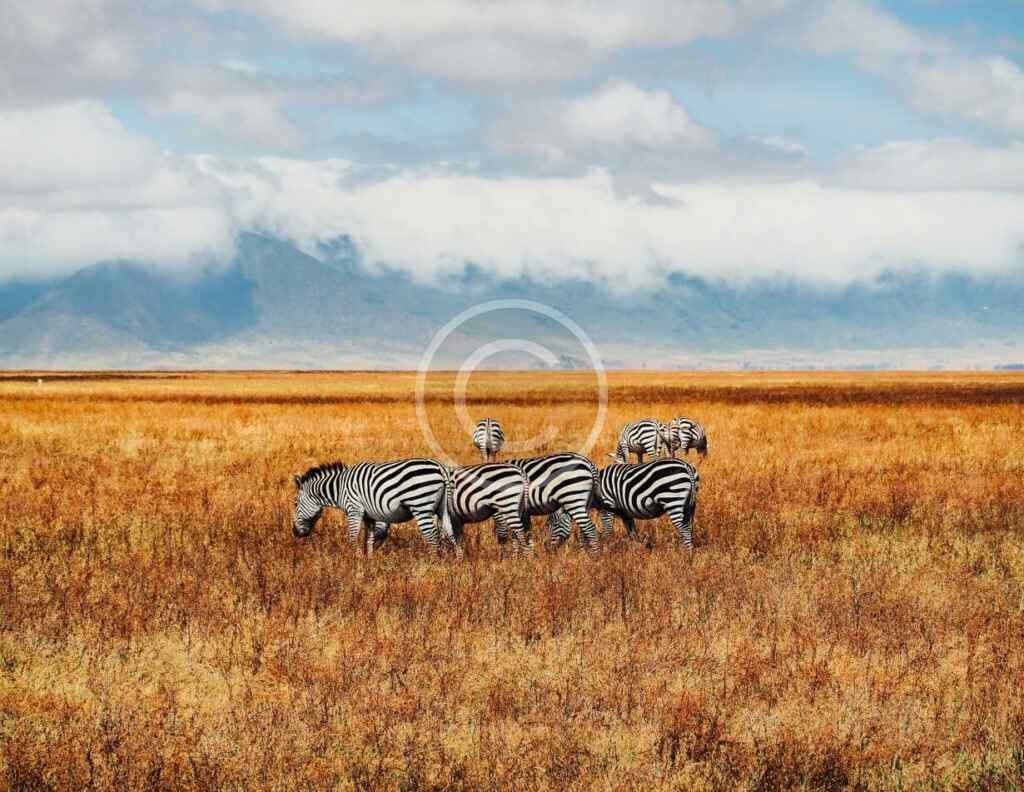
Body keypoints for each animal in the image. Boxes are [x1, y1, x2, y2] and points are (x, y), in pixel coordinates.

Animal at [292, 458, 451, 555]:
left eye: (295, 503)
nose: (294, 532)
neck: (340, 488)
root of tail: (440, 467)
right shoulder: (369, 516)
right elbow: (368, 539)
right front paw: (368, 562)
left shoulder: (354, 510)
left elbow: (353, 538)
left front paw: (354, 562)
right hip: (441, 509)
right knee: (444, 534)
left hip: (420, 506)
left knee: (433, 537)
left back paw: (431, 564)